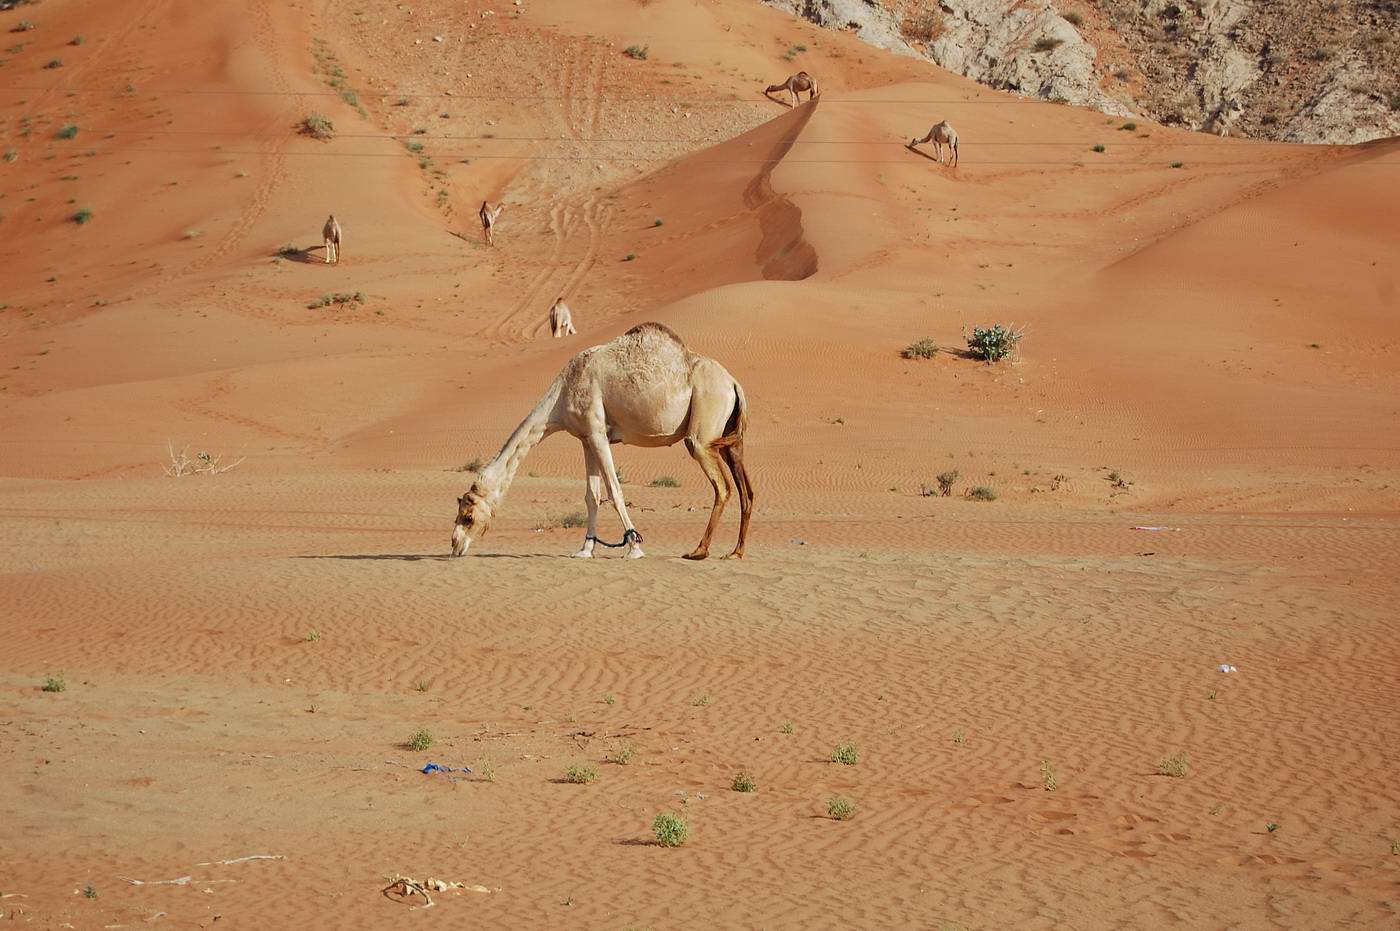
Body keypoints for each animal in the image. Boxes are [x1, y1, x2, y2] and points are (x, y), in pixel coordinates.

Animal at [450, 323, 756, 560]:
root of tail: (734, 383)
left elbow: (615, 492)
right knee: (746, 490)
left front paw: (634, 547)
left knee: (722, 487)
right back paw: (735, 552)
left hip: (702, 431)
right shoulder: (585, 437)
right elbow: (592, 496)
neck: (561, 395)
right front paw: (585, 549)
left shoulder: (598, 432)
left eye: (468, 516)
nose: (454, 545)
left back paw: (699, 551)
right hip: (730, 439)